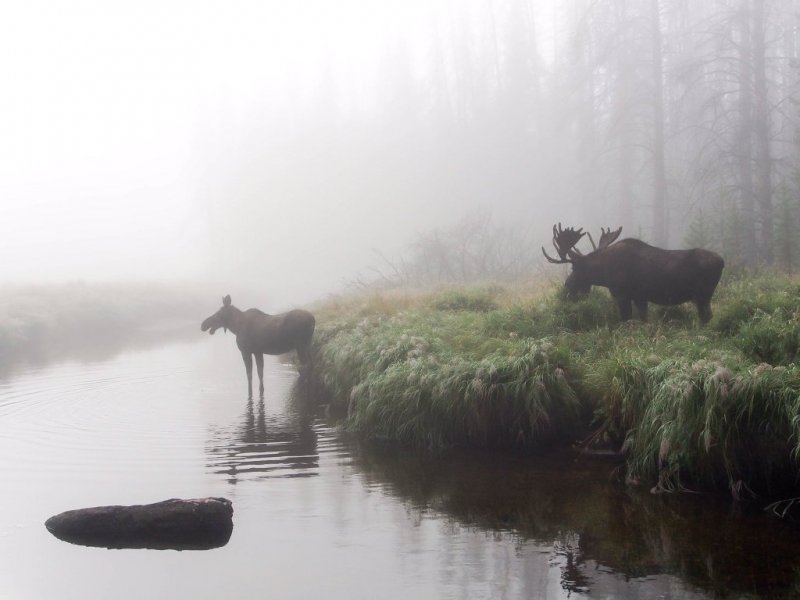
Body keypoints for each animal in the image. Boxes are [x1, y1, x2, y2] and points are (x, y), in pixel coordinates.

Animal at [544, 223, 724, 324]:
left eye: (574, 268)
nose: (567, 285)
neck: (604, 273)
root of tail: (722, 261)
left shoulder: (623, 294)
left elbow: (625, 319)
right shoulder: (640, 297)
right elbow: (644, 319)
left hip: (702, 295)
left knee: (706, 316)